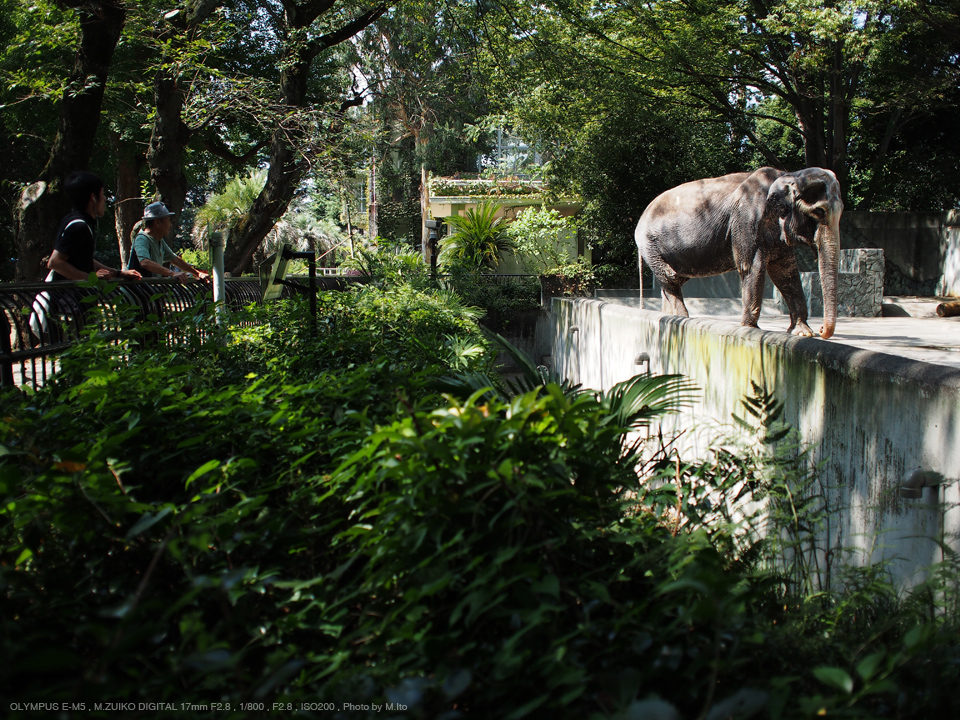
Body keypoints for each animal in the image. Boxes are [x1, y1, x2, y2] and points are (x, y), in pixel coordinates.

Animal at [636, 167, 840, 338]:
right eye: (819, 211)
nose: (822, 329)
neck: (786, 174)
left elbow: (785, 273)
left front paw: (803, 333)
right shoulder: (746, 219)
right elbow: (752, 266)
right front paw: (750, 329)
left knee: (674, 279)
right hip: (650, 244)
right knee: (669, 277)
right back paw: (683, 319)